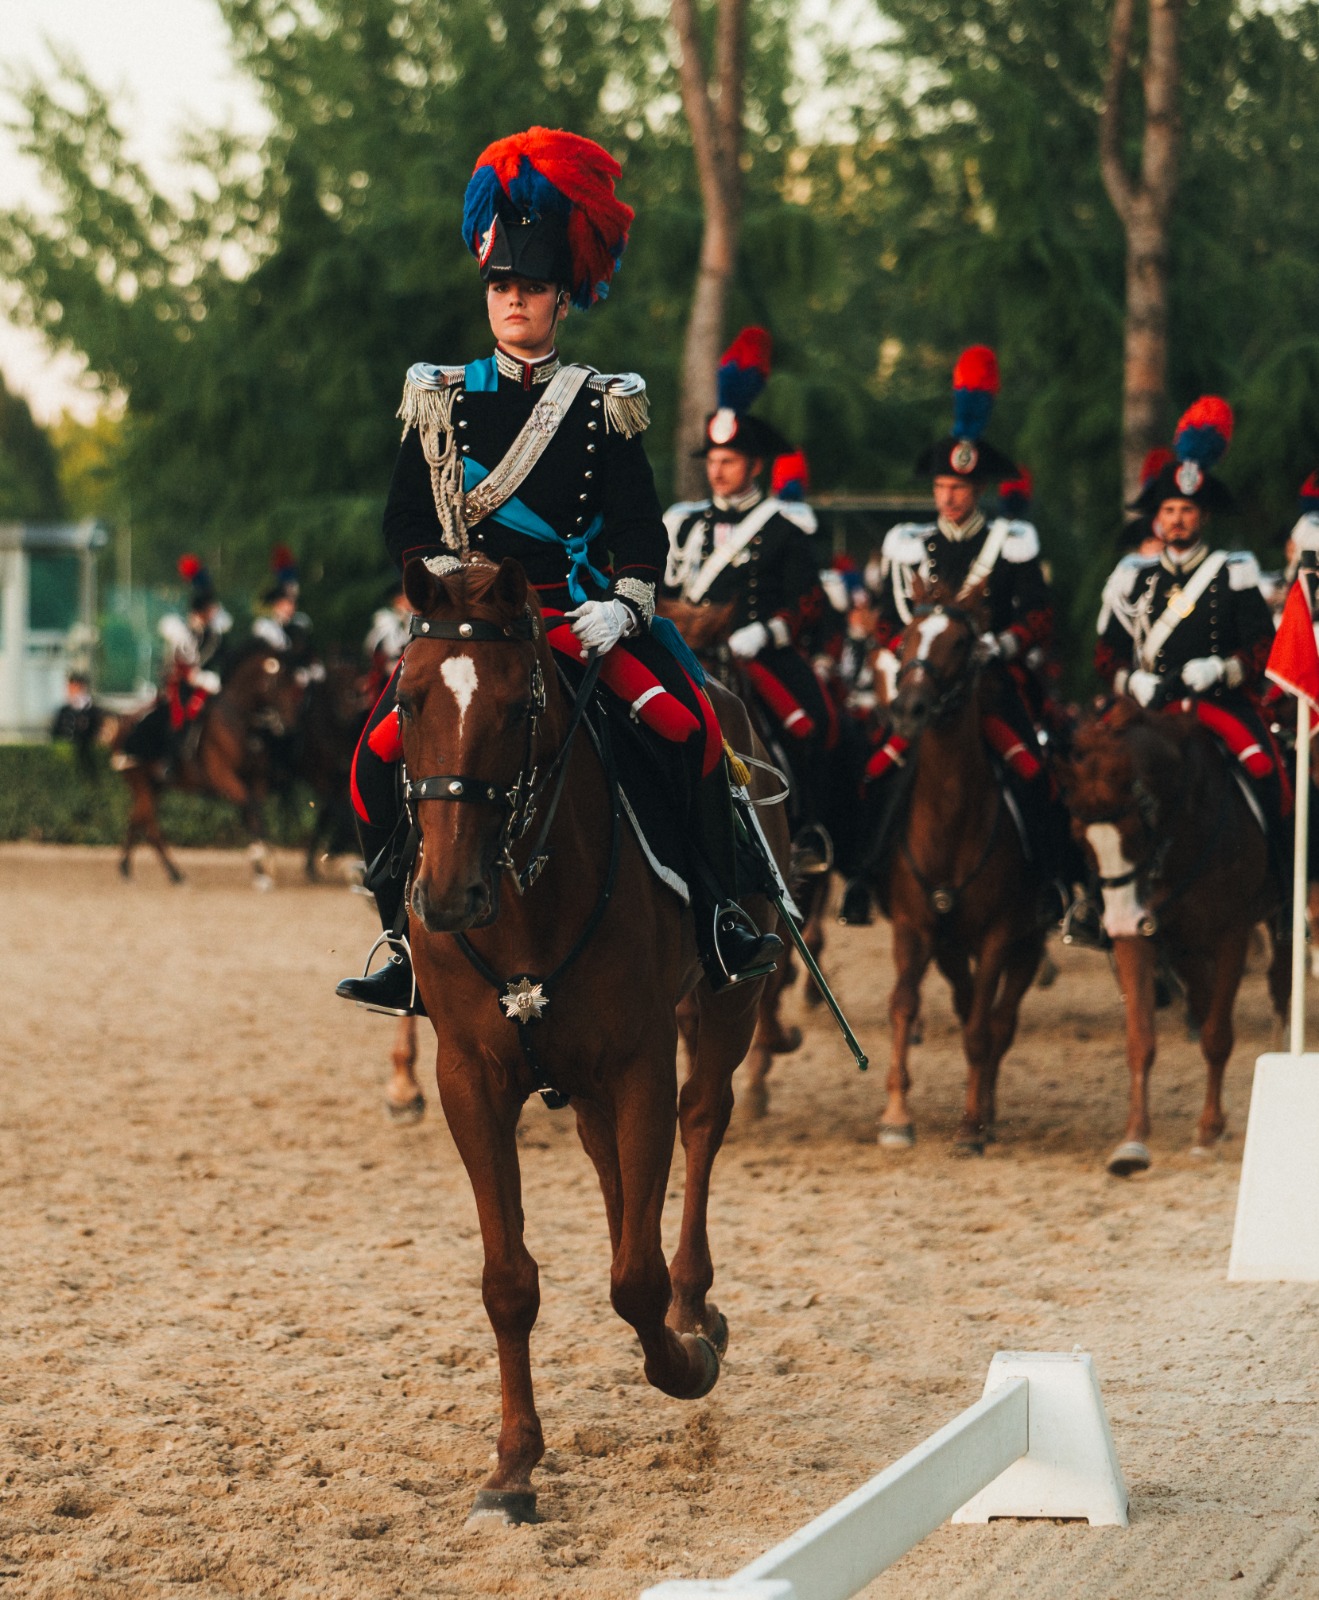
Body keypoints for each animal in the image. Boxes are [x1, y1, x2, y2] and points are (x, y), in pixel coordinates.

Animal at [112, 640, 302, 889]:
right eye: (278, 681)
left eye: (295, 681)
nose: (290, 725)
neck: (240, 722)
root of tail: (122, 723)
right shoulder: (224, 777)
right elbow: (251, 808)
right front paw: (263, 858)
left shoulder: (256, 780)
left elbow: (253, 814)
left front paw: (261, 869)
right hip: (142, 784)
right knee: (150, 828)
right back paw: (173, 874)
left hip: (154, 787)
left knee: (136, 822)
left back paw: (133, 870)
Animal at [396, 553, 787, 1523]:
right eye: (410, 700)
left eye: (516, 706)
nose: (447, 896)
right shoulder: (469, 1078)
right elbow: (508, 1281)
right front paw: (511, 1468)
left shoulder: (640, 1059)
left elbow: (634, 1278)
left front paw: (683, 1361)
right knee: (612, 1167)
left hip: (727, 1003)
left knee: (700, 1123)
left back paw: (693, 1304)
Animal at [857, 582, 1050, 1158]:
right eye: (907, 637)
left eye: (962, 642)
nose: (909, 708)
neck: (952, 819)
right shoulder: (914, 927)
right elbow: (903, 1004)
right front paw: (896, 1116)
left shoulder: (999, 936)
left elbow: (983, 1031)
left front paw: (969, 1127)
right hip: (947, 946)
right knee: (968, 1006)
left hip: (1027, 943)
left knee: (999, 1022)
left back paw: (985, 1111)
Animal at [1062, 700, 1286, 1177]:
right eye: (1080, 838)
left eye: (1135, 828)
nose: (1119, 919)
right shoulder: (1142, 939)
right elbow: (1141, 1039)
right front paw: (1131, 1145)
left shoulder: (1232, 934)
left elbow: (1217, 1036)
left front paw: (1206, 1134)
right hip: (1186, 948)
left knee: (1280, 986)